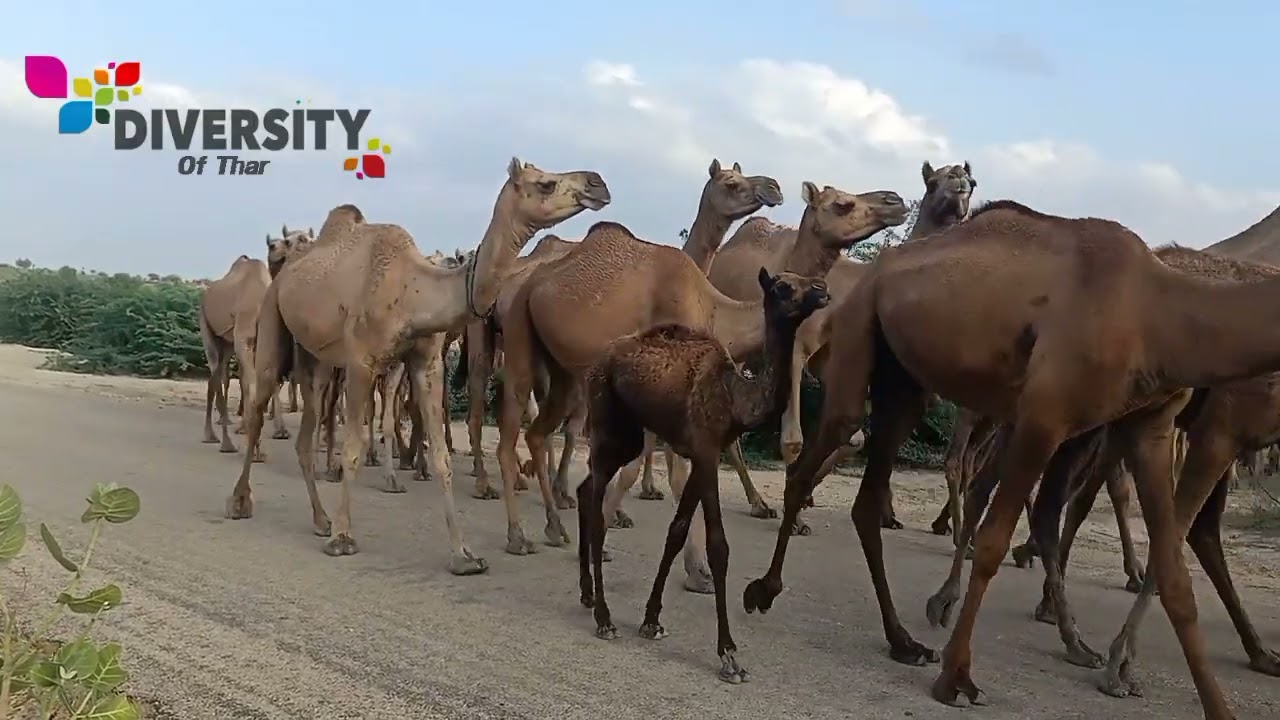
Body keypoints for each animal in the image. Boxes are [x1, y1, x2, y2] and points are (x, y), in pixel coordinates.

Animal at [198, 227, 313, 455]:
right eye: (281, 242)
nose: (307, 240)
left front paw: (273, 437)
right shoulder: (244, 339)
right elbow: (250, 386)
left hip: (227, 343)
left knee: (219, 374)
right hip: (206, 324)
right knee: (217, 375)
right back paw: (218, 439)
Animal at [224, 158, 610, 577]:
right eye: (545, 184)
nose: (598, 183)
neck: (414, 291)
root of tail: (285, 275)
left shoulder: (427, 364)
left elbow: (441, 454)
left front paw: (464, 555)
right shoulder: (361, 362)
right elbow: (354, 446)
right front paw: (343, 538)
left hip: (315, 359)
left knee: (305, 428)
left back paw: (319, 518)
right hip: (272, 322)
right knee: (258, 406)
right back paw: (240, 502)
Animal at [497, 181, 906, 598]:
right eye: (842, 204)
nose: (895, 201)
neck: (715, 309)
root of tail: (528, 281)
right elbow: (671, 476)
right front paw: (695, 570)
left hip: (563, 370)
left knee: (537, 432)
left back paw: (554, 527)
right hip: (518, 339)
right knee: (509, 431)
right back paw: (517, 536)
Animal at [578, 268, 829, 684]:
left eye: (808, 279)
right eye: (782, 286)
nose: (823, 292)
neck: (736, 396)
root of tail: (596, 362)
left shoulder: (699, 455)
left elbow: (677, 531)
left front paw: (651, 620)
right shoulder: (708, 452)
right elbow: (718, 547)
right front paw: (729, 654)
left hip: (626, 436)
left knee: (585, 491)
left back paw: (585, 594)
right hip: (606, 421)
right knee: (597, 509)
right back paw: (603, 617)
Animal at [739, 199, 1280, 719]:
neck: (1160, 313)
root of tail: (866, 275)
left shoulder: (1151, 427)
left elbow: (1174, 575)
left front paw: (1211, 703)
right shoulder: (1045, 416)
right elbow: (994, 543)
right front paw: (957, 679)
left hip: (905, 386)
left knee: (867, 498)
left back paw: (903, 642)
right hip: (859, 336)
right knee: (813, 459)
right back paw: (764, 590)